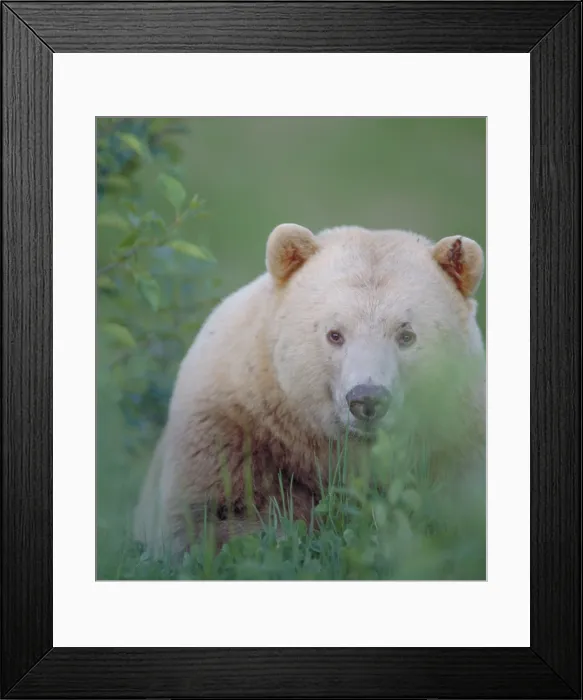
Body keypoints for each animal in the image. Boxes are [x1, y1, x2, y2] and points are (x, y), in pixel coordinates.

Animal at [133, 223, 486, 561]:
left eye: (406, 335)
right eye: (334, 334)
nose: (367, 399)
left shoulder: (456, 437)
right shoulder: (233, 428)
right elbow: (218, 515)